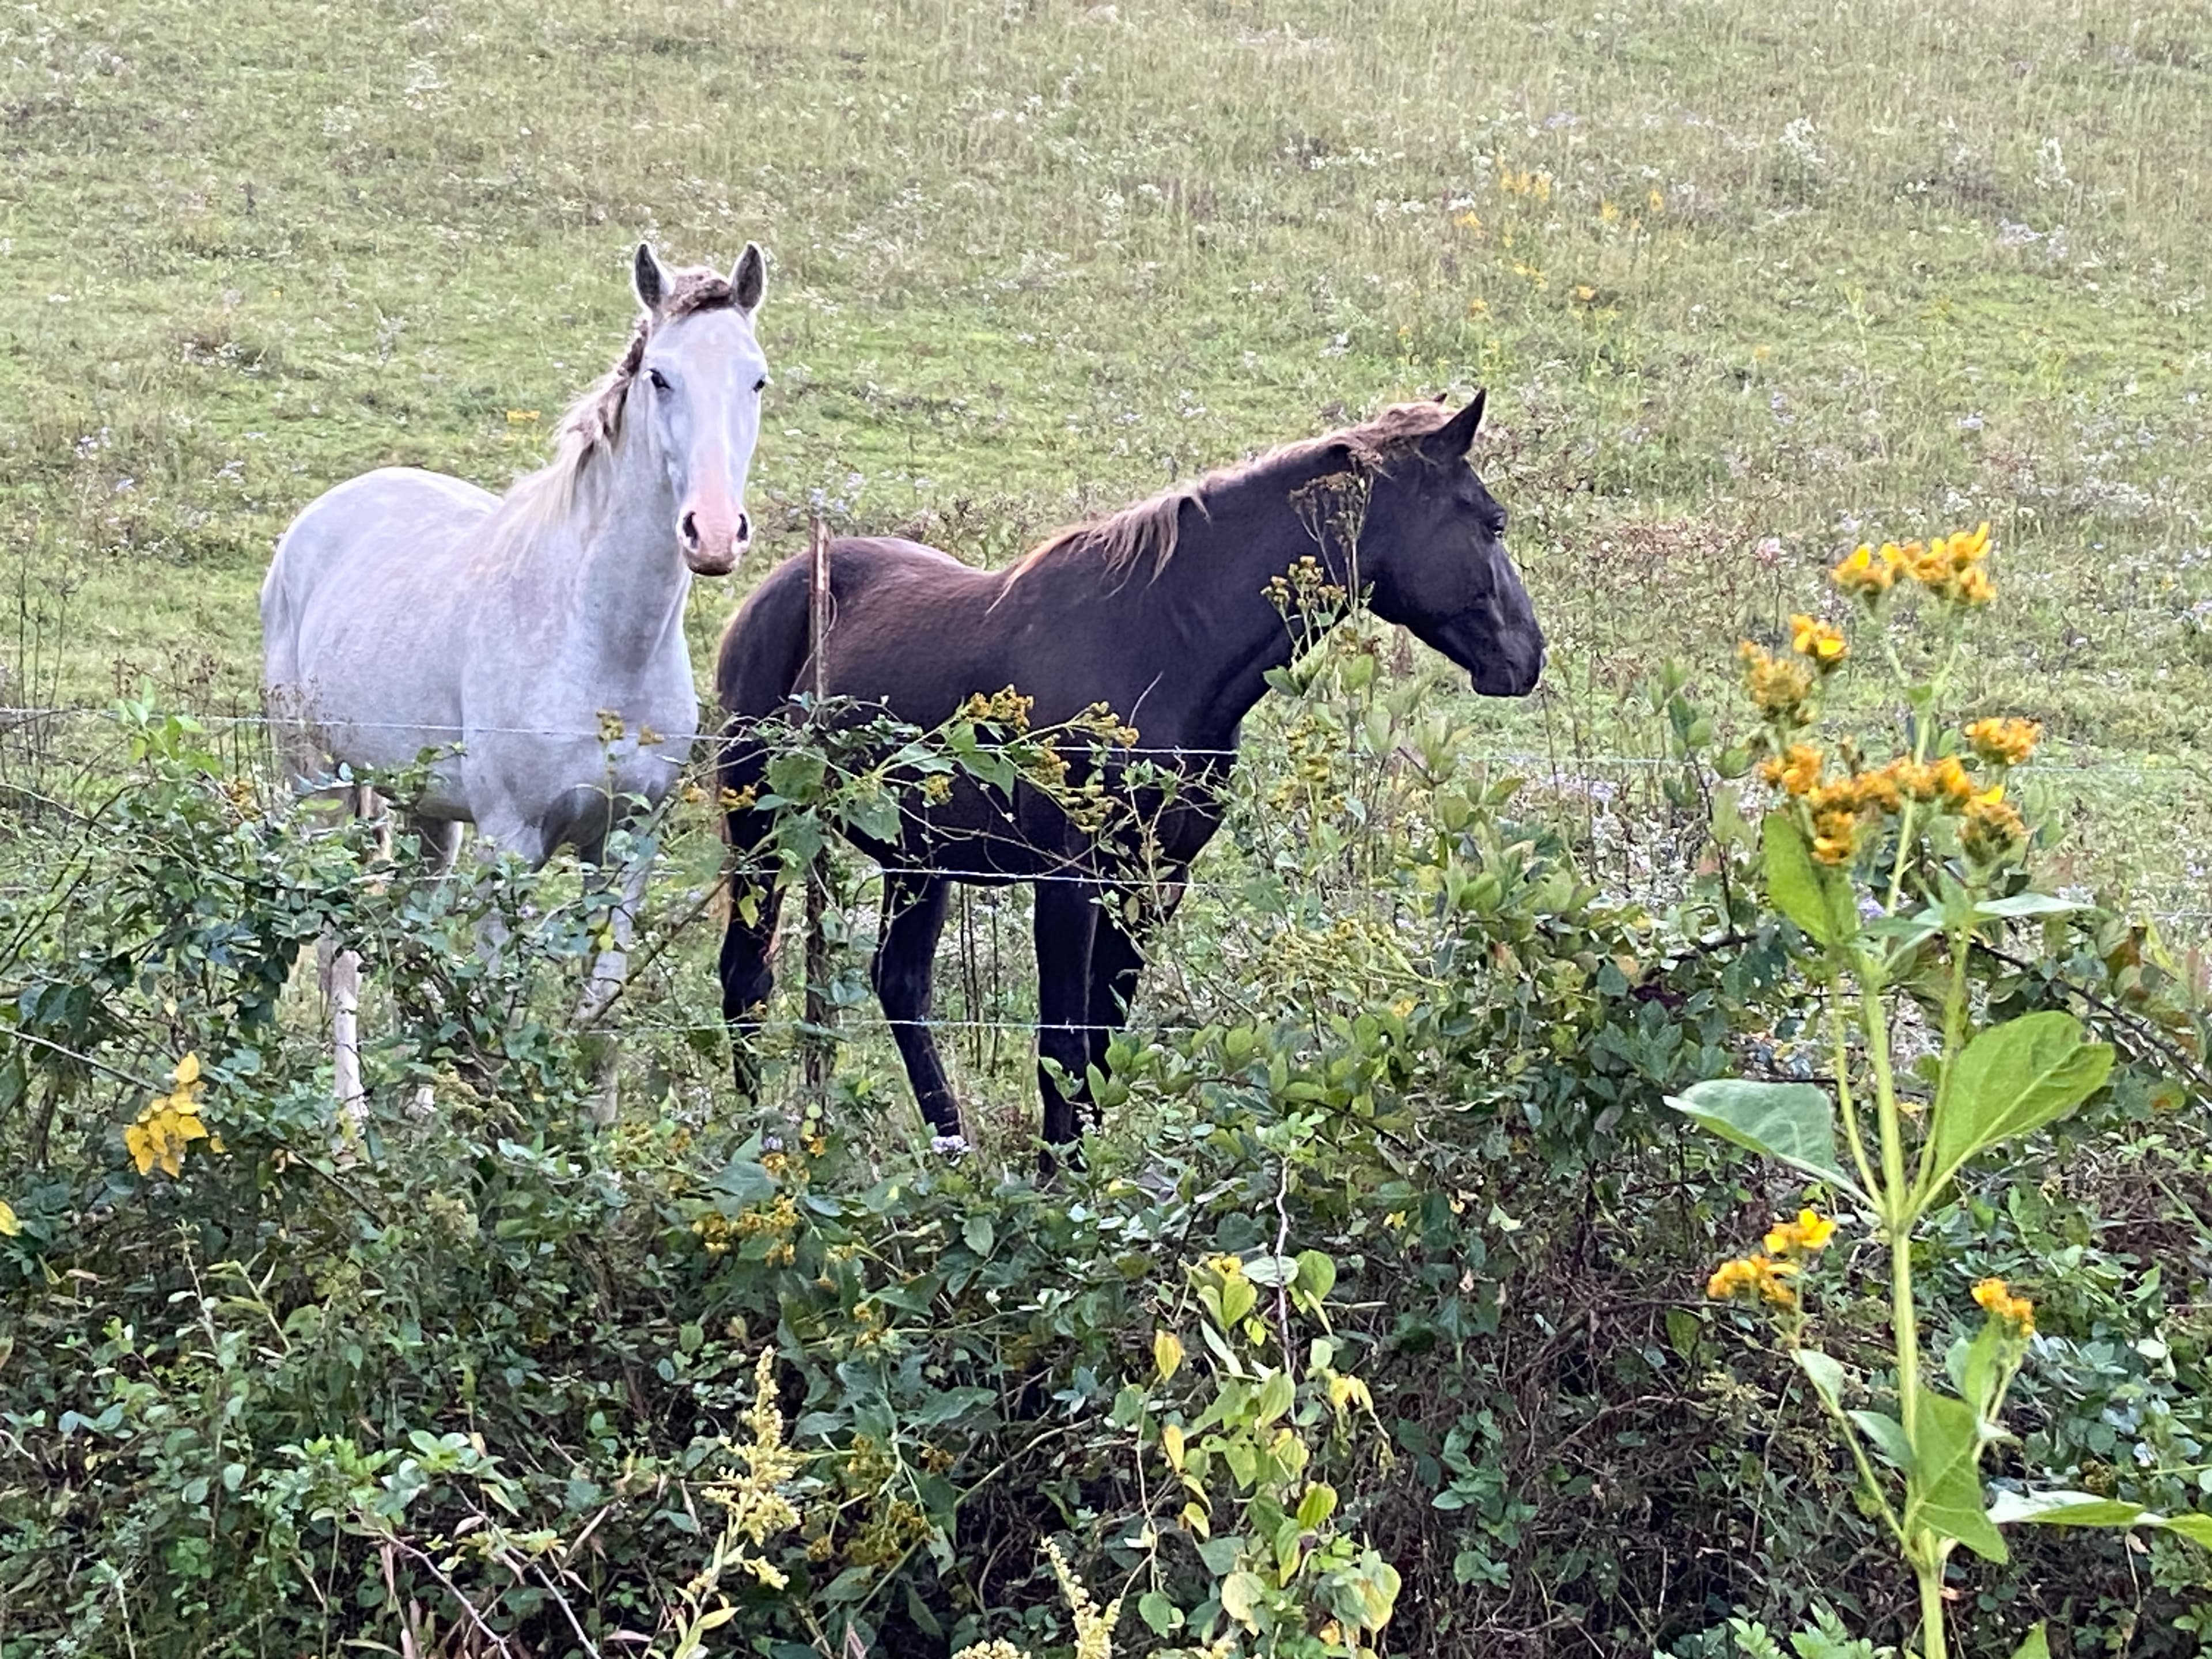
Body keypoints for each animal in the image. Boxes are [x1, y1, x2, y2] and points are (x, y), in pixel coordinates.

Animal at [262, 241, 771, 1116]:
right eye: (661, 377)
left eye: (757, 380)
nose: (711, 533)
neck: (599, 644)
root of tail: (315, 522)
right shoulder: (514, 844)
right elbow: (495, 995)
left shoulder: (627, 845)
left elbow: (599, 1008)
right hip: (319, 788)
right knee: (340, 948)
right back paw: (352, 1121)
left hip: (429, 817)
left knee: (414, 927)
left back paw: (418, 1104)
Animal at [712, 393, 1543, 1152]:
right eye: (1492, 521)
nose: (1527, 657)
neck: (1161, 649)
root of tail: (781, 588)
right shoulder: (1071, 879)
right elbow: (1063, 1044)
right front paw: (1056, 1186)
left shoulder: (1154, 881)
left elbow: (1102, 1047)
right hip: (759, 827)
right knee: (747, 976)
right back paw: (754, 1133)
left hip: (915, 858)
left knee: (900, 984)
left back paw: (952, 1146)